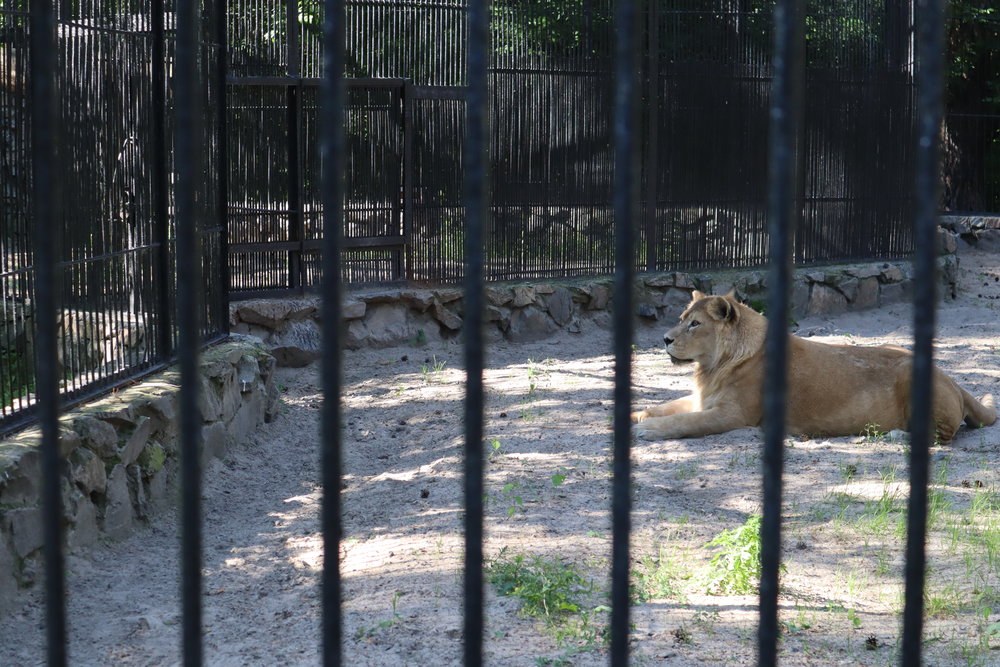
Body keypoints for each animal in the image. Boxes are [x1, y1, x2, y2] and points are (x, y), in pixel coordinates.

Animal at [628, 290, 996, 444]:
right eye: (681, 319)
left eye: (695, 324)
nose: (664, 338)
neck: (713, 366)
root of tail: (954, 380)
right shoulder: (703, 398)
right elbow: (659, 407)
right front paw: (635, 417)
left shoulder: (734, 415)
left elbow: (685, 422)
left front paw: (648, 430)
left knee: (941, 437)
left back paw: (891, 436)